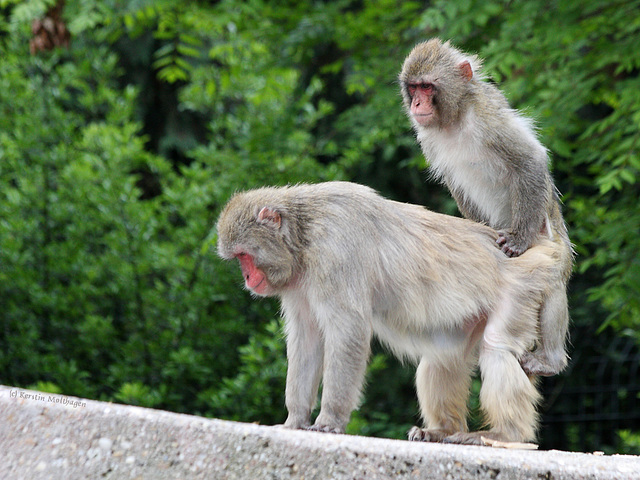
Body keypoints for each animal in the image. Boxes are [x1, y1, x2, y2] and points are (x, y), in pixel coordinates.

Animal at [216, 181, 564, 446]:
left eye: (245, 256)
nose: (247, 277)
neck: (303, 236)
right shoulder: (298, 282)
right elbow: (308, 339)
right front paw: (293, 420)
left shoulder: (336, 251)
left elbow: (348, 330)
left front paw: (329, 420)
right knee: (442, 357)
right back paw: (443, 430)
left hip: (520, 286)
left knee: (495, 347)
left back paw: (505, 435)